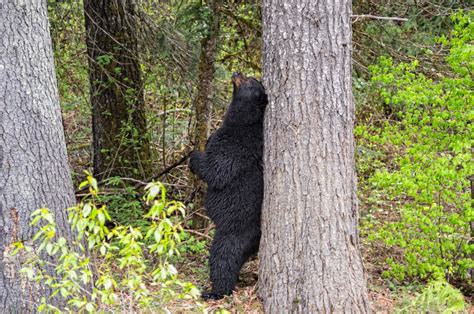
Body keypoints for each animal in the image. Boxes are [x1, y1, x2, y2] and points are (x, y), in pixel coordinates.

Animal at [191, 72, 268, 300]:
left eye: (251, 80)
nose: (237, 73)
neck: (241, 122)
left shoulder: (234, 148)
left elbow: (216, 170)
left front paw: (193, 156)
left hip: (231, 236)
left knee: (223, 259)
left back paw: (214, 291)